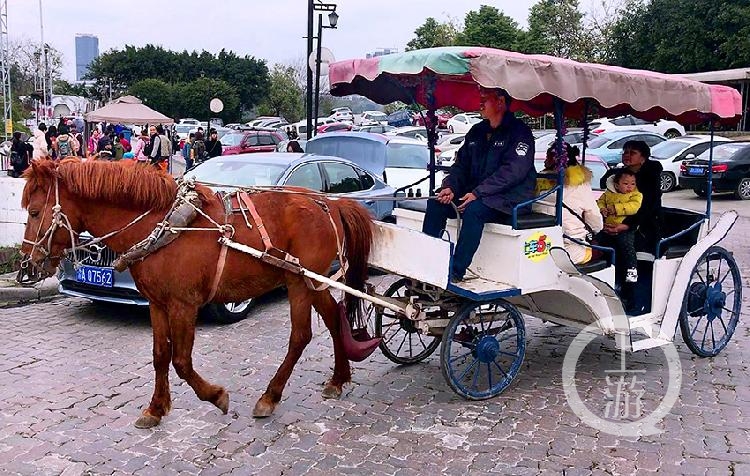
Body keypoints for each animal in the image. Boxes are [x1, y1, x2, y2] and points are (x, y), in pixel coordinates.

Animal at [20, 159, 376, 428]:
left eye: (35, 212)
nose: (27, 263)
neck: (161, 223)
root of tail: (329, 202)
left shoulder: (183, 305)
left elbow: (181, 361)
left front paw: (216, 396)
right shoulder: (157, 304)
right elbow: (160, 356)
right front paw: (156, 408)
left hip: (301, 282)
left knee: (301, 336)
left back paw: (270, 396)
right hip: (311, 282)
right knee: (333, 320)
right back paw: (337, 379)